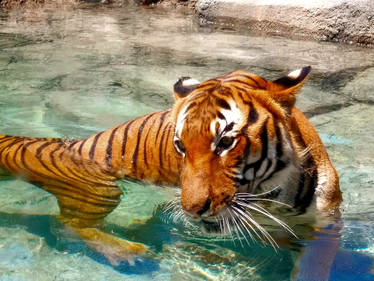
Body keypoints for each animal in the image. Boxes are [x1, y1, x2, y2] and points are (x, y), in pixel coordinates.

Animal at [0, 66, 342, 266]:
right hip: (99, 190)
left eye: (225, 143)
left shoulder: (326, 223)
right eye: (180, 146)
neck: (272, 198)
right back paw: (129, 253)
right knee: (67, 226)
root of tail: (64, 143)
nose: (193, 210)